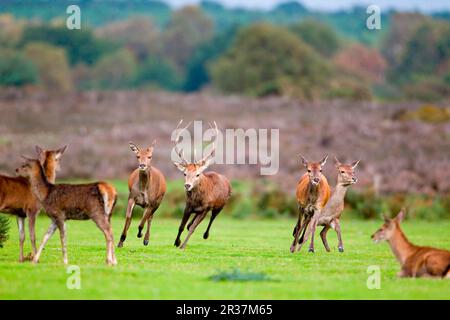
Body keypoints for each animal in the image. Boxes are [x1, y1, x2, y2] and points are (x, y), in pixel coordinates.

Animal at [172, 120, 232, 250]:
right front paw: (176, 242)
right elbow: (181, 226)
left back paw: (205, 235)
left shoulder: (206, 207)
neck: (197, 200)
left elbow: (193, 228)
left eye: (198, 174)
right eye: (184, 173)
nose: (187, 185)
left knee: (212, 218)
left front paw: (182, 245)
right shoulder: (188, 206)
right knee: (191, 222)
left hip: (220, 206)